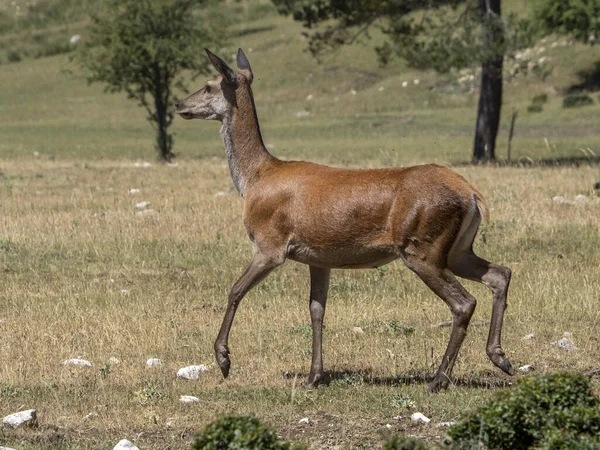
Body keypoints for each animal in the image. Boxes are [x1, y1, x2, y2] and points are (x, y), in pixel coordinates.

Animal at [175, 49, 516, 392]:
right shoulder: (317, 257)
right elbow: (316, 309)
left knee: (463, 302)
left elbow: (234, 290)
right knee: (500, 273)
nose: (179, 104)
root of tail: (473, 196)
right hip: (457, 249)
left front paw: (223, 359)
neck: (254, 180)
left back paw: (438, 379)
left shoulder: (270, 245)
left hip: (422, 247)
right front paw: (314, 376)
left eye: (208, 85)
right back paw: (501, 358)